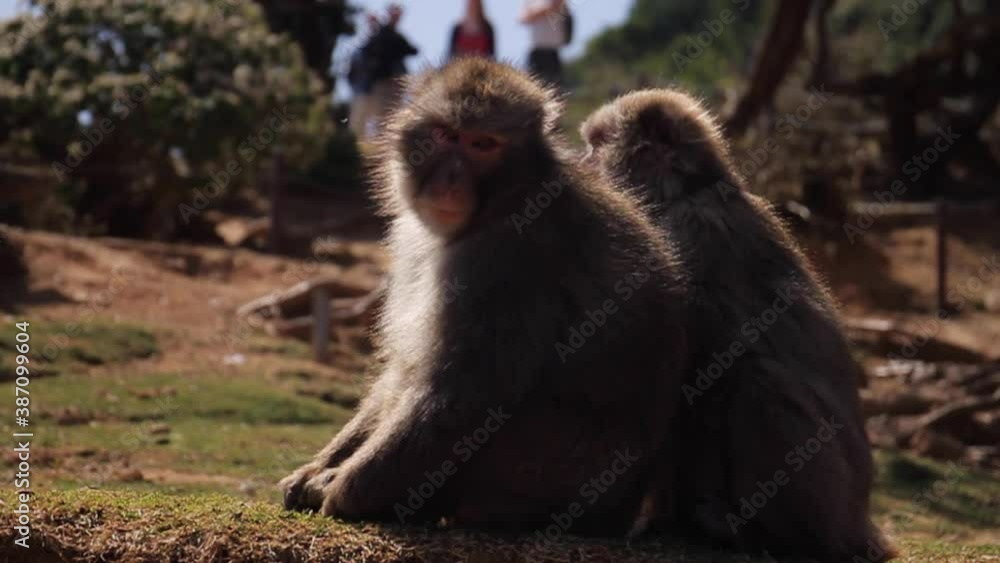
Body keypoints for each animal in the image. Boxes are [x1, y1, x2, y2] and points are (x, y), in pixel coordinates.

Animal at [279, 59, 691, 535]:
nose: (450, 180)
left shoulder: (506, 258)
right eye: (445, 135)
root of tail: (620, 512)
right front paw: (316, 469)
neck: (502, 204)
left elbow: (466, 394)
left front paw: (343, 491)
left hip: (542, 473)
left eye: (483, 144)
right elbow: (403, 372)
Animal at [581, 90, 895, 562]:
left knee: (757, 383)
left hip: (835, 503)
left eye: (596, 145)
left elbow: (699, 364)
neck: (682, 191)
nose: (583, 163)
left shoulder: (687, 233)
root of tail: (860, 525)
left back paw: (782, 538)